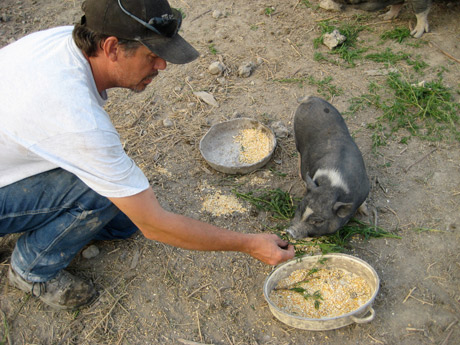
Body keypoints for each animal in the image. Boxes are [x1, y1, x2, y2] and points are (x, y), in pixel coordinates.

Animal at [288, 95, 370, 238]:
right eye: (300, 207)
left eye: (318, 221)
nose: (291, 232)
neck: (332, 186)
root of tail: (310, 98)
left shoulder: (365, 187)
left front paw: (366, 214)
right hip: (297, 136)